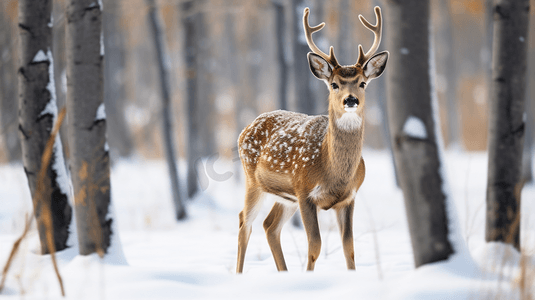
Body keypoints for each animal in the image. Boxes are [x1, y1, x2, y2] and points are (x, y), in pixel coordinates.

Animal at [236, 5, 390, 274]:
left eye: (362, 83)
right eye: (334, 84)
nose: (351, 99)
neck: (333, 172)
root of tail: (245, 128)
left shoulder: (349, 197)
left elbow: (349, 248)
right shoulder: (304, 190)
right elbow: (315, 246)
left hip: (284, 197)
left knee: (269, 226)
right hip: (254, 181)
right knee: (245, 222)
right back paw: (239, 274)